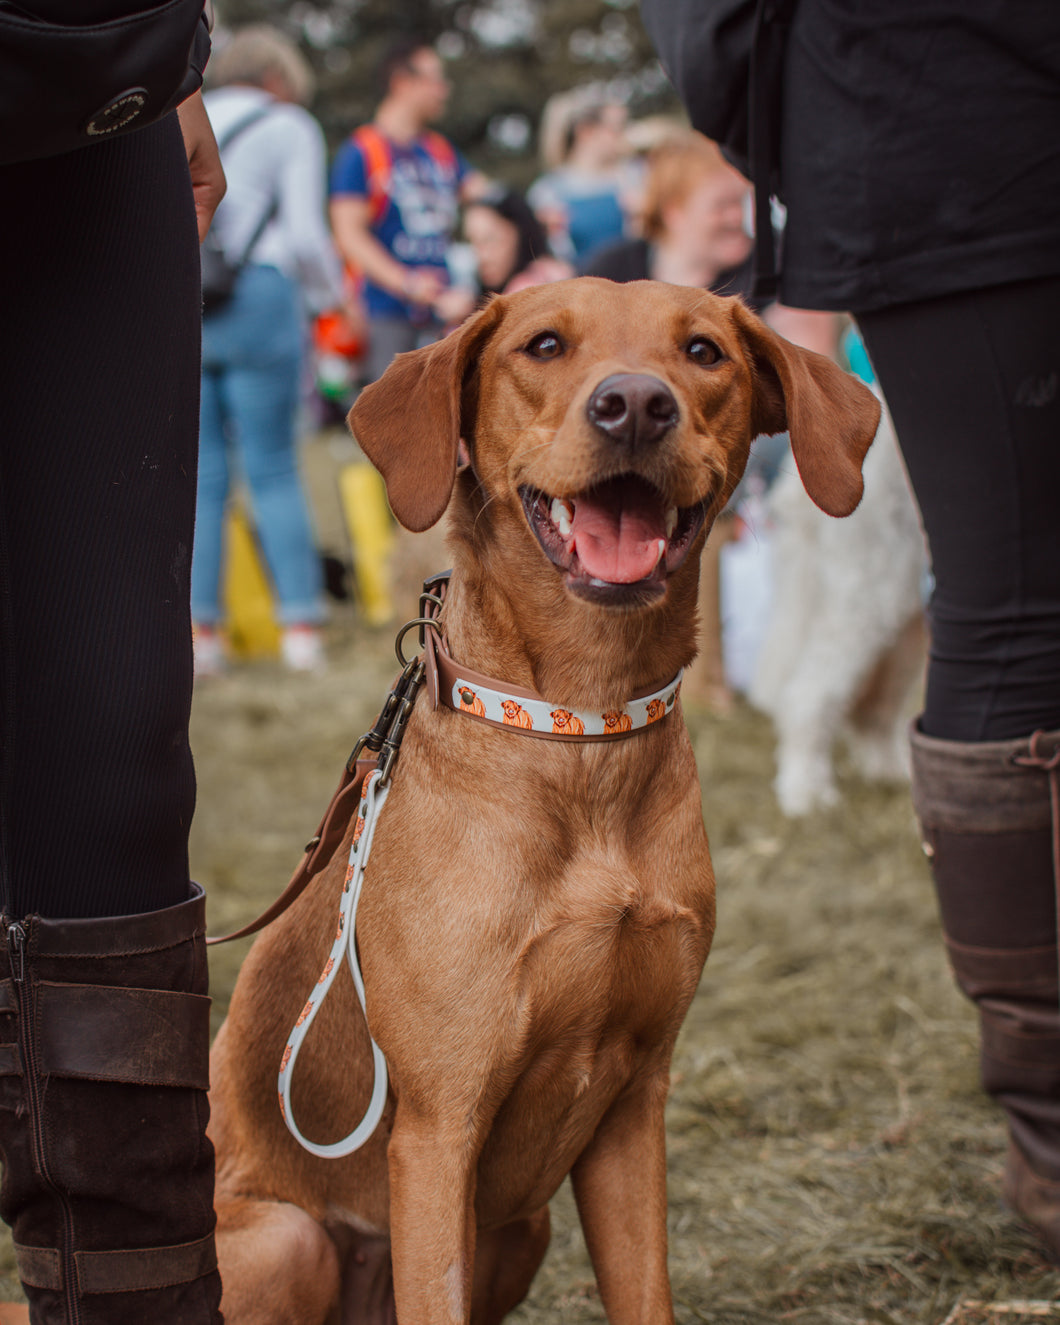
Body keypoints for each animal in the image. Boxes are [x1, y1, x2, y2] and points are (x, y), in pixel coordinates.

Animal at [206, 274, 879, 1319]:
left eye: (704, 352)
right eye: (546, 345)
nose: (635, 404)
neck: (582, 725)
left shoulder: (634, 1106)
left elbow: (646, 1293)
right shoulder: (438, 1126)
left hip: (525, 1226)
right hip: (289, 1240)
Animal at [747, 400, 927, 816]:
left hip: (909, 619)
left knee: (873, 709)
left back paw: (895, 773)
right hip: (871, 593)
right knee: (808, 694)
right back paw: (806, 793)